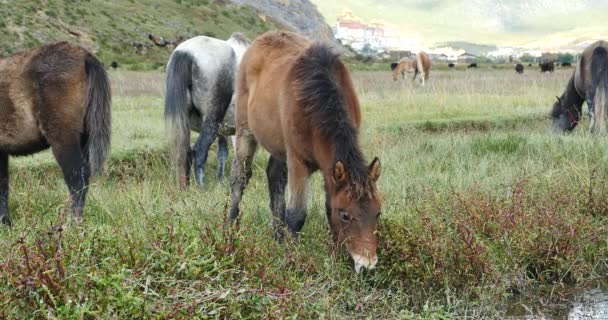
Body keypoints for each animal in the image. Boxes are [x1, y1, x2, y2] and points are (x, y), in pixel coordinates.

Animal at [0, 42, 111, 226]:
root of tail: (84, 56)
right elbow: (3, 186)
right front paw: (5, 223)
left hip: (63, 139)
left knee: (76, 178)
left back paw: (73, 223)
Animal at [164, 31, 249, 190]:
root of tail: (186, 52)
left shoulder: (225, 130)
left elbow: (223, 154)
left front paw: (221, 182)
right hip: (212, 120)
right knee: (199, 151)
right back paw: (201, 188)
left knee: (185, 152)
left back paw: (185, 187)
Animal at [230, 31, 382, 272]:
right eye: (345, 215)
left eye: (378, 213)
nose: (366, 266)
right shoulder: (298, 162)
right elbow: (297, 215)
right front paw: (292, 259)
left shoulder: (329, 168)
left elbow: (327, 207)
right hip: (245, 131)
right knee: (240, 177)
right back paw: (231, 228)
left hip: (279, 147)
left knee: (274, 176)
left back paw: (277, 236)